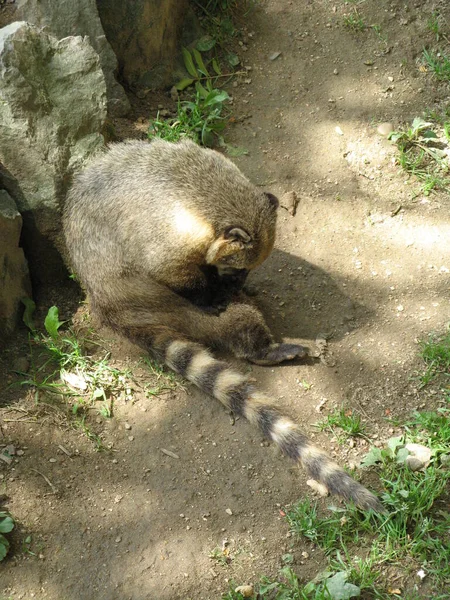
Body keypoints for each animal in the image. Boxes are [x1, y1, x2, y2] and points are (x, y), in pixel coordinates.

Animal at [61, 139, 382, 510]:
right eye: (237, 267)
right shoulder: (161, 233)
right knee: (235, 323)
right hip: (156, 301)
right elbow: (167, 269)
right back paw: (265, 348)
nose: (236, 283)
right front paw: (209, 293)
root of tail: (108, 307)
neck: (202, 190)